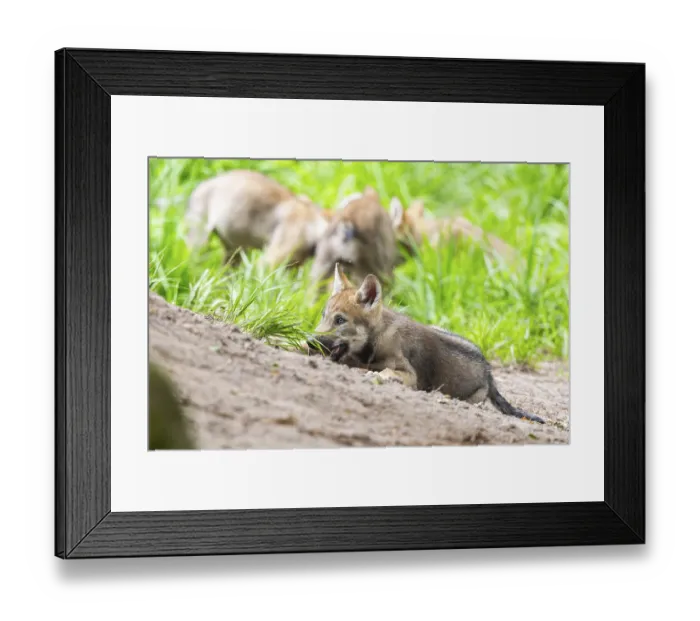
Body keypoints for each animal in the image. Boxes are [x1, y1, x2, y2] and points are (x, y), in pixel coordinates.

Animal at [309, 263, 545, 424]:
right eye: (323, 316)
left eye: (340, 320)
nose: (309, 340)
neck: (375, 339)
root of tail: (489, 372)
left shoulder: (410, 375)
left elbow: (384, 371)